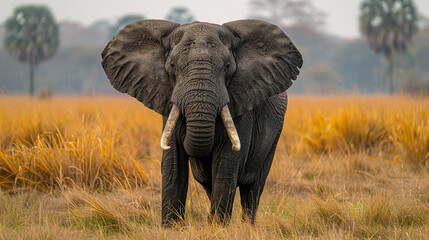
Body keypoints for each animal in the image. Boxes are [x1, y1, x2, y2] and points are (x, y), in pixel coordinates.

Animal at [100, 18, 300, 225]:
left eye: (227, 67)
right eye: (172, 66)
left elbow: (226, 165)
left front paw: (218, 228)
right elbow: (173, 165)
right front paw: (172, 228)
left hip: (274, 136)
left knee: (252, 189)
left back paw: (248, 226)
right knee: (208, 182)